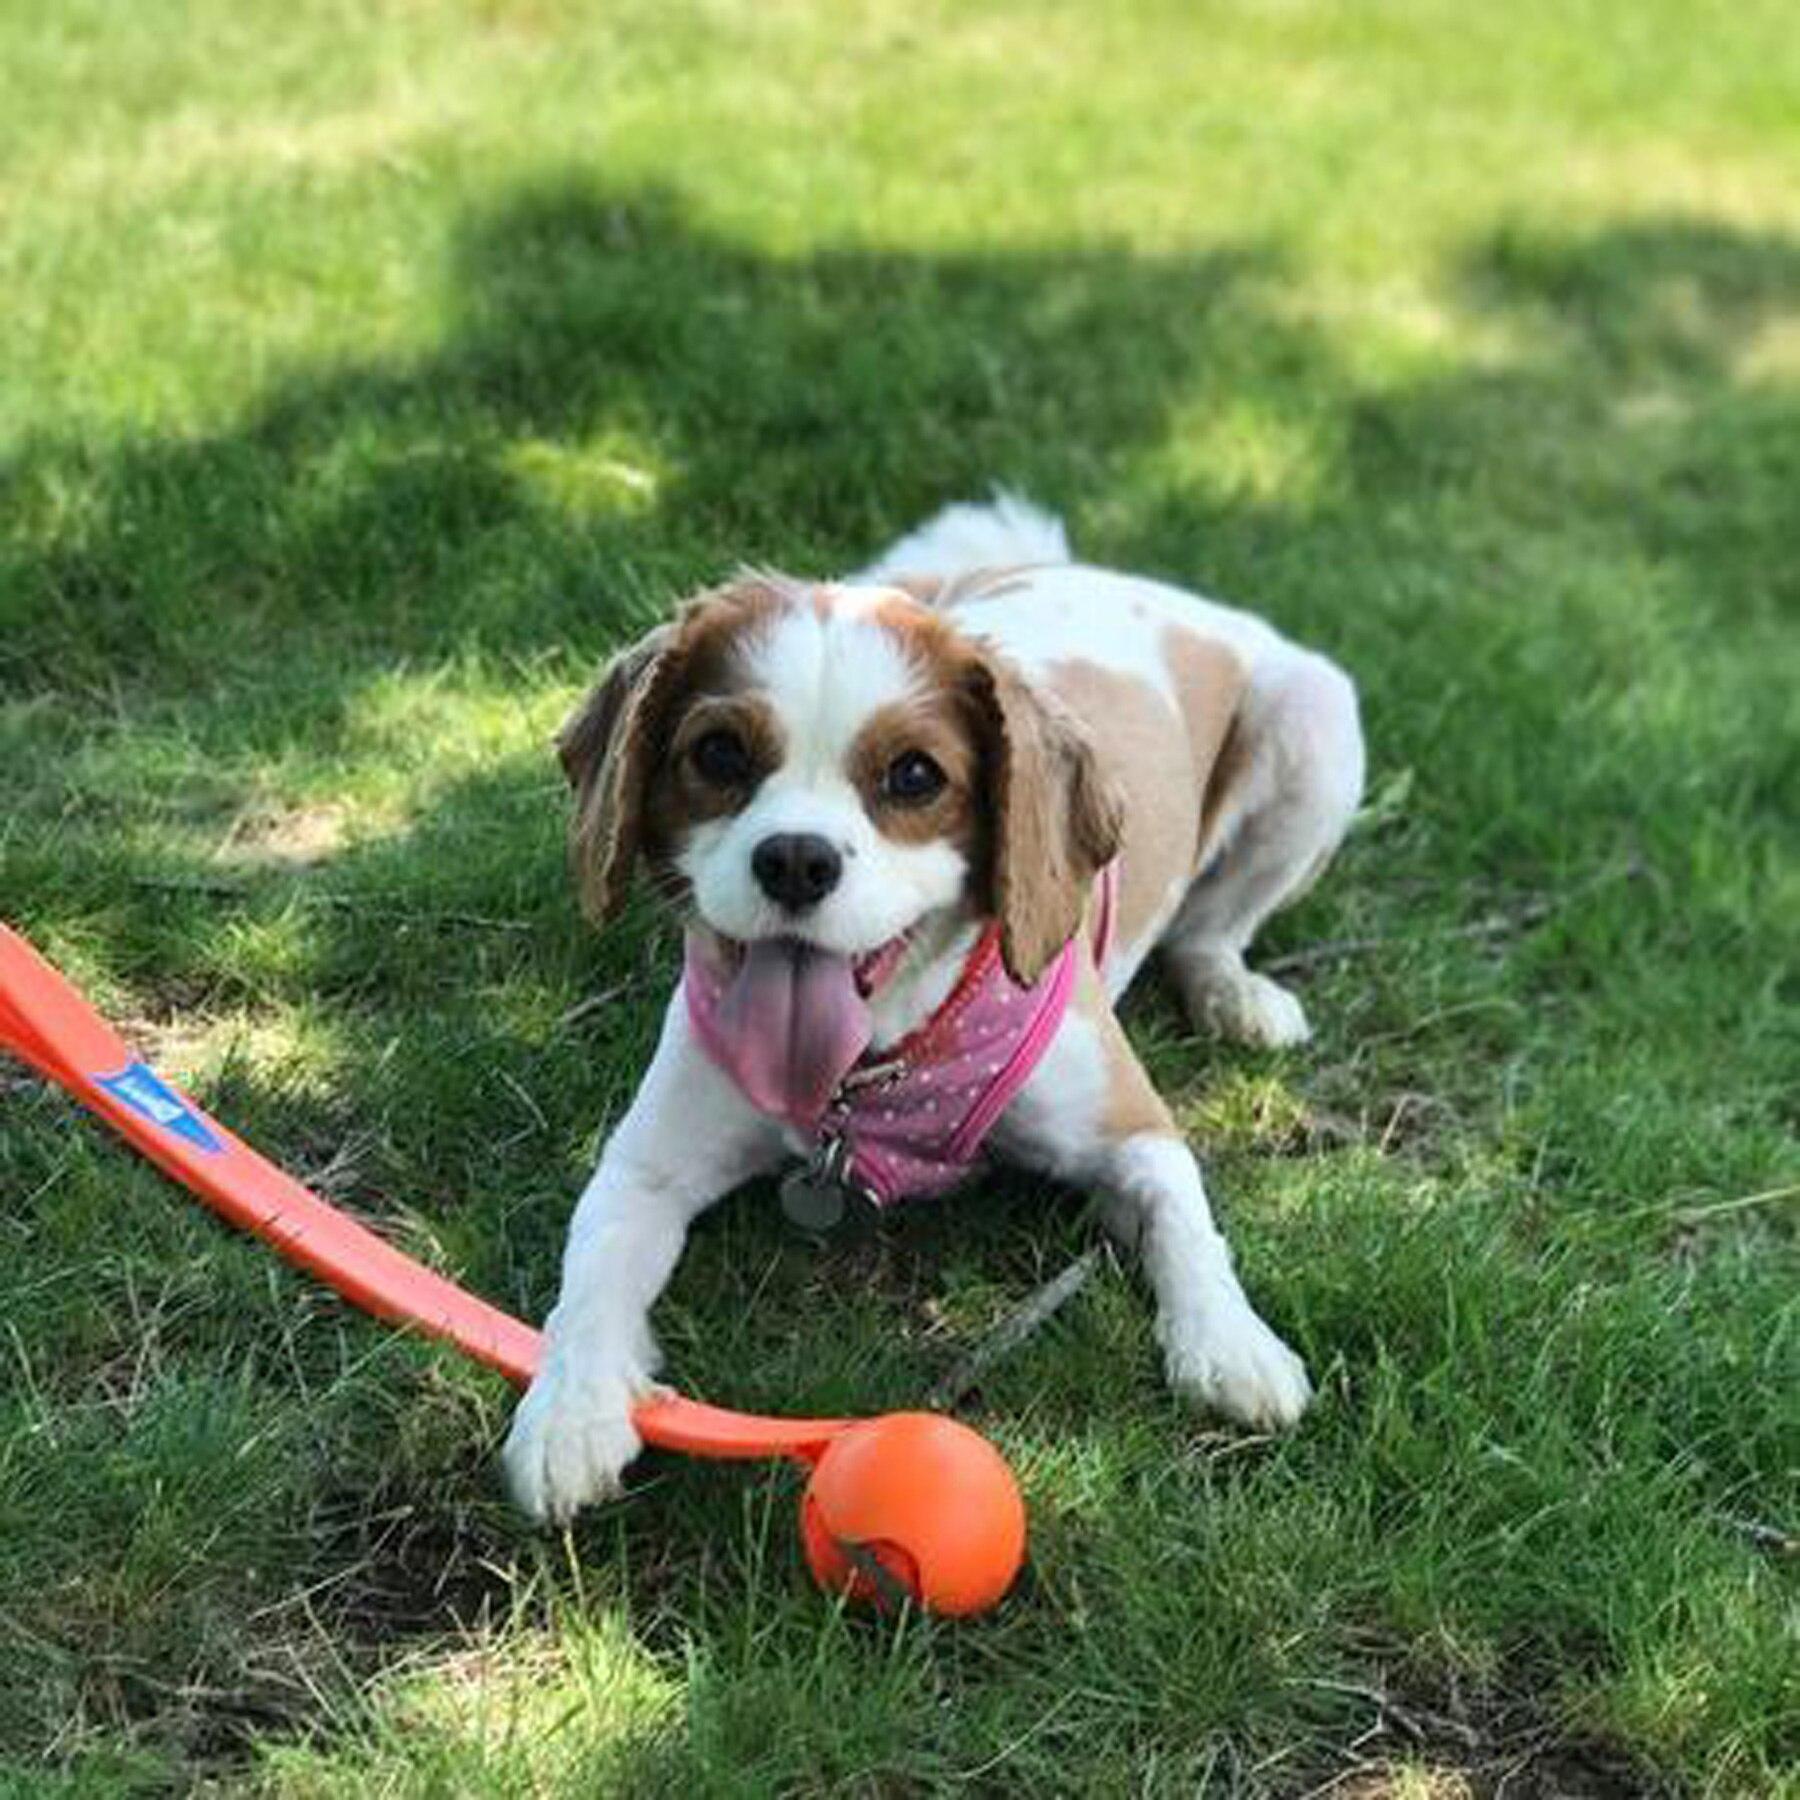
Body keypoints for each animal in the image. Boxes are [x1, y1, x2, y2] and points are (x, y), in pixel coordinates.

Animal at [500, 493, 1353, 1519]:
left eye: (913, 776)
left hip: (1316, 718)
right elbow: (588, 1268)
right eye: (718, 753)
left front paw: (1231, 1343)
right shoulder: (646, 1168)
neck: (877, 1067)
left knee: (1211, 933)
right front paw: (570, 1406)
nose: (794, 858)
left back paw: (1236, 994)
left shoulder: (1135, 1130)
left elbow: (1186, 1225)